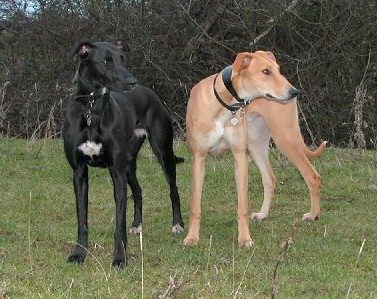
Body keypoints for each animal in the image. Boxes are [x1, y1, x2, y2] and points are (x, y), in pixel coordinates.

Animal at [64, 41, 184, 268]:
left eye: (122, 59)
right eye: (105, 61)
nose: (132, 82)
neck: (92, 109)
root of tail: (150, 93)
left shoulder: (116, 173)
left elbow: (119, 223)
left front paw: (120, 258)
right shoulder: (79, 172)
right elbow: (82, 220)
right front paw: (79, 254)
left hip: (163, 152)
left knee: (173, 189)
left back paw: (178, 224)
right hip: (128, 162)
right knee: (138, 191)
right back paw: (137, 225)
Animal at [182, 51, 324, 248]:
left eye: (278, 69)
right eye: (265, 71)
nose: (294, 91)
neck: (225, 102)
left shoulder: (239, 156)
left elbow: (242, 205)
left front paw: (244, 239)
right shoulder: (199, 157)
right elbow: (195, 205)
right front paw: (192, 237)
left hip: (284, 138)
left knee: (312, 176)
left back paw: (313, 214)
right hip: (257, 145)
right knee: (270, 178)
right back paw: (263, 214)